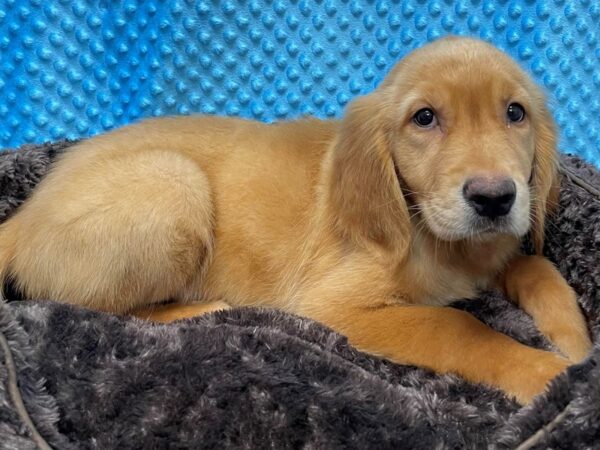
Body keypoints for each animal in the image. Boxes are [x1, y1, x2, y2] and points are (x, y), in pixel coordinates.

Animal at [0, 37, 592, 404]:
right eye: (424, 118)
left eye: (515, 113)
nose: (494, 198)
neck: (432, 234)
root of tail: (25, 214)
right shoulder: (334, 305)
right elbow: (458, 326)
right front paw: (549, 374)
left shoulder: (494, 249)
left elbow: (536, 266)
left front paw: (574, 340)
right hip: (174, 184)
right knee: (93, 305)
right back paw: (199, 310)